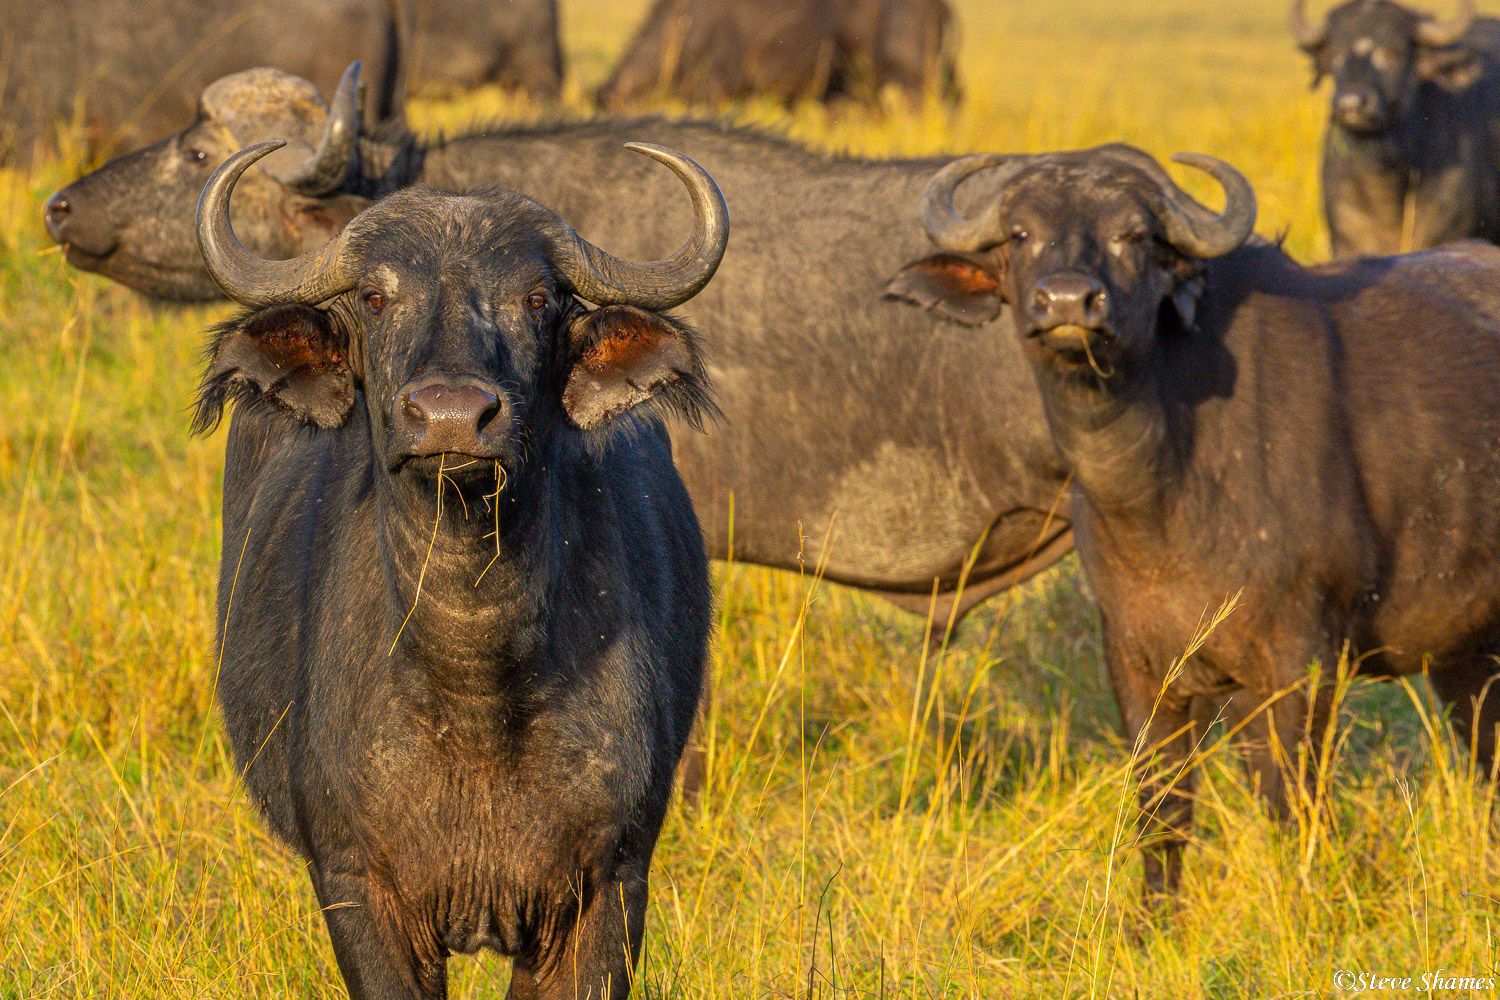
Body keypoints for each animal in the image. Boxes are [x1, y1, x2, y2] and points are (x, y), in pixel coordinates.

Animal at [193, 137, 726, 995]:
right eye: (375, 297)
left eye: (537, 298)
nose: (450, 417)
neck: (474, 687)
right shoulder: (355, 886)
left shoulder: (609, 888)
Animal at [882, 144, 1500, 905]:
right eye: (1020, 234)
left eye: (1134, 235)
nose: (1068, 303)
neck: (1162, 502)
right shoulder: (1138, 664)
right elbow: (1163, 811)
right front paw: (1154, 918)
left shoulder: (1301, 663)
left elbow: (1292, 802)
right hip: (1467, 653)